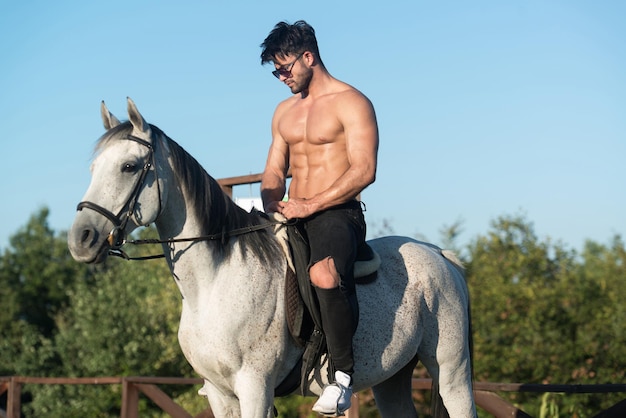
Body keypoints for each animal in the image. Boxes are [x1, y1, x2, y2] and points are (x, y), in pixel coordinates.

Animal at [68, 98, 476, 418]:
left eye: (130, 167)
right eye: (93, 169)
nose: (81, 239)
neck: (214, 283)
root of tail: (439, 254)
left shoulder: (255, 388)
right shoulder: (220, 394)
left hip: (451, 372)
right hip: (392, 378)